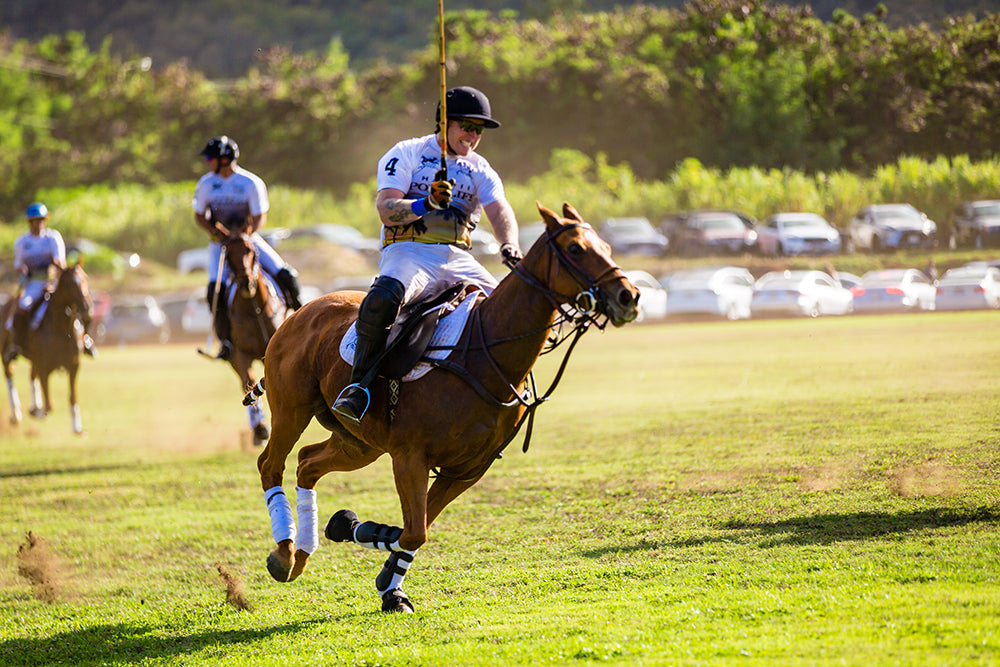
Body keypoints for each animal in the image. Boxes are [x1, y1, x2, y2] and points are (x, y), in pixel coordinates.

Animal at [1, 264, 94, 436]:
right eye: (68, 284)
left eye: (85, 278)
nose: (87, 308)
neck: (61, 328)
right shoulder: (44, 366)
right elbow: (49, 405)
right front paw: (37, 412)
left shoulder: (74, 365)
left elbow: (73, 397)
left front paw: (77, 428)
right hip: (5, 353)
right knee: (9, 375)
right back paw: (16, 414)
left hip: (34, 360)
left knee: (31, 376)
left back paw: (34, 406)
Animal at [250, 205, 640, 616]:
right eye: (576, 248)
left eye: (606, 246)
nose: (628, 296)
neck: (486, 353)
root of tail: (300, 311)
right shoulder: (410, 457)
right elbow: (414, 531)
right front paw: (360, 538)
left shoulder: (467, 469)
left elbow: (416, 530)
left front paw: (385, 580)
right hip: (293, 409)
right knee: (271, 464)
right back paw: (284, 554)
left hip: (360, 442)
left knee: (308, 462)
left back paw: (304, 553)